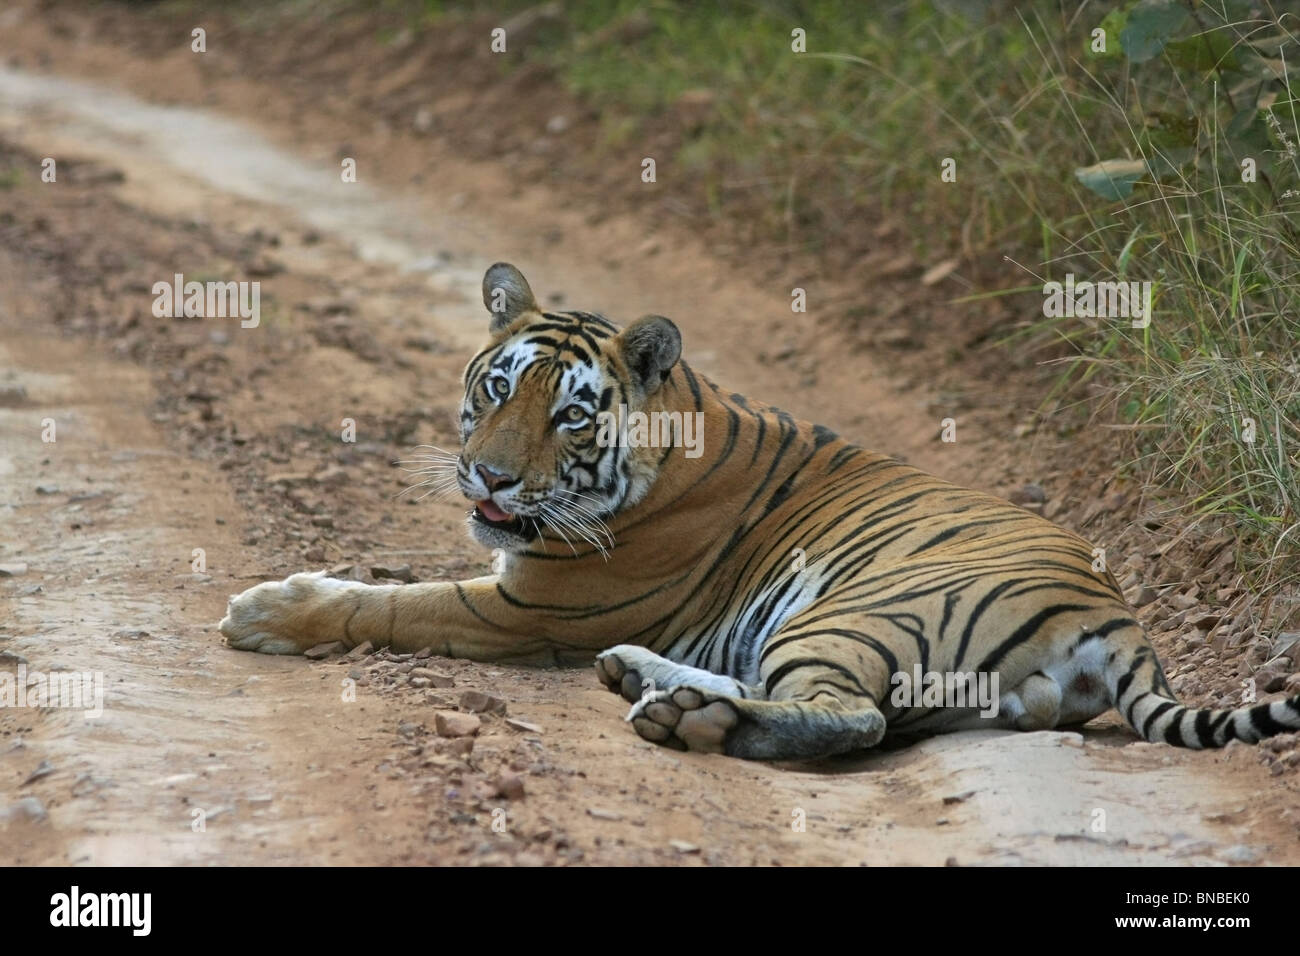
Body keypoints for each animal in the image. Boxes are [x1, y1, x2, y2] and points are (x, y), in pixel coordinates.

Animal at [220, 261, 1300, 764]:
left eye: (569, 413)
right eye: (496, 388)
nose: (487, 480)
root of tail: (1115, 614)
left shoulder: (530, 605)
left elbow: (391, 600)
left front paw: (268, 610)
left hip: (859, 611)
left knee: (850, 718)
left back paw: (693, 721)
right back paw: (653, 682)